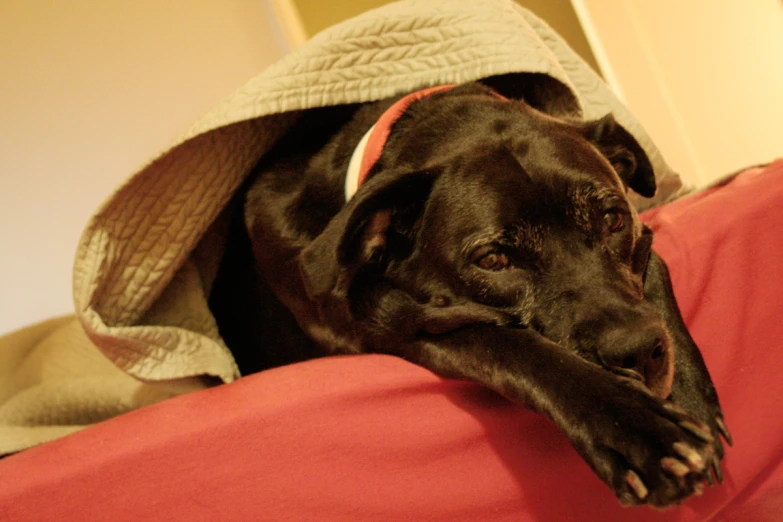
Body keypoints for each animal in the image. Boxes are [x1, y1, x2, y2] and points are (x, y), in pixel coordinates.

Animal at [211, 80, 732, 504]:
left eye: (613, 218)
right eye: (493, 260)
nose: (638, 352)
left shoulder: (641, 239)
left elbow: (654, 267)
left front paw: (690, 396)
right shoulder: (391, 320)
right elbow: (510, 344)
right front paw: (641, 430)